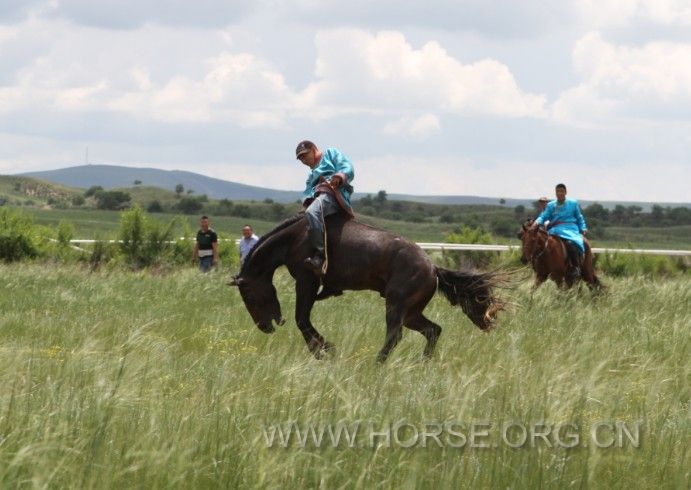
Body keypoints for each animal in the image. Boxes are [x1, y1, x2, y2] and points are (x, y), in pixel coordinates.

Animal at [230, 212, 506, 362]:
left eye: (249, 295)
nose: (265, 327)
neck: (295, 238)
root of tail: (433, 268)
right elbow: (303, 320)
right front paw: (324, 349)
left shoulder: (307, 280)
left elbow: (302, 319)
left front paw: (324, 350)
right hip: (411, 313)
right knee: (433, 331)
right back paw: (423, 363)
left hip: (396, 306)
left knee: (395, 336)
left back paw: (375, 364)